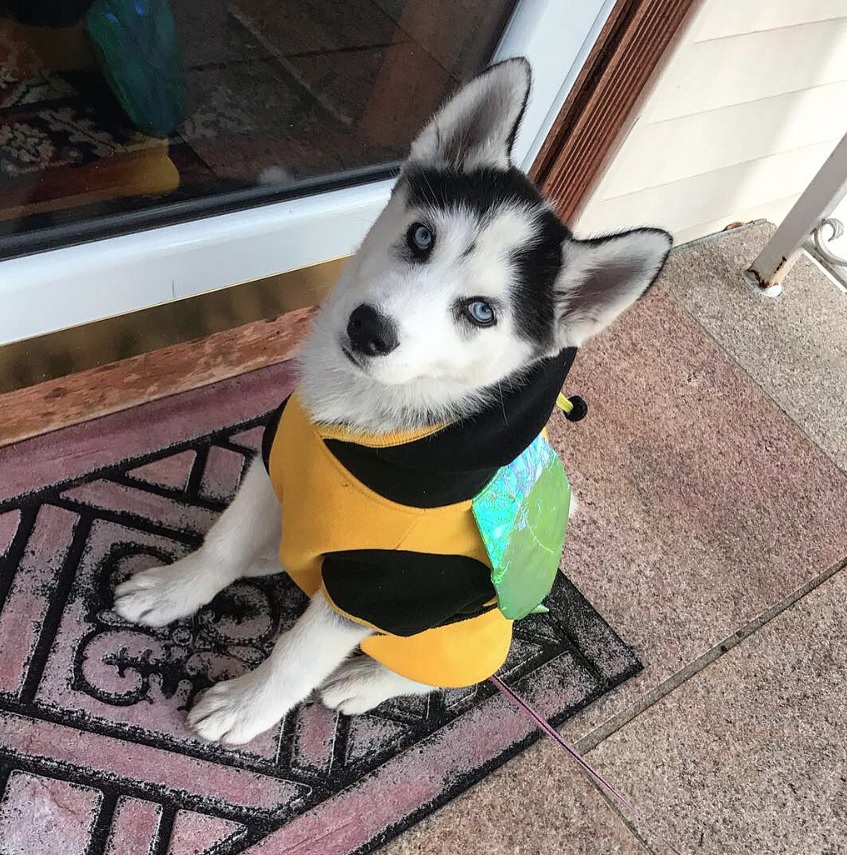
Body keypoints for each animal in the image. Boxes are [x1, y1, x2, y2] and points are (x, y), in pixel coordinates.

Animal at [114, 58, 668, 744]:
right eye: (422, 235)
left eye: (481, 311)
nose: (368, 330)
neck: (359, 424)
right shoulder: (274, 462)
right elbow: (223, 542)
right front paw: (175, 591)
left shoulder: (387, 585)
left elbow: (298, 654)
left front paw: (246, 706)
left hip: (456, 635)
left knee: (441, 671)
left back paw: (364, 681)